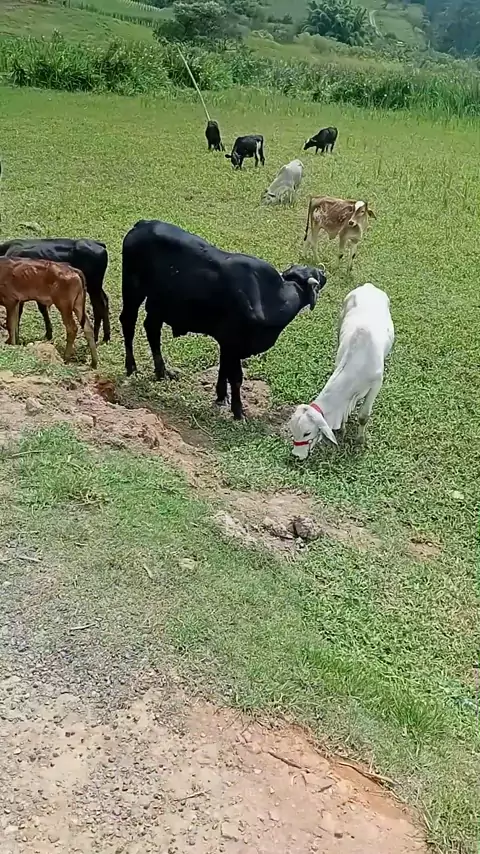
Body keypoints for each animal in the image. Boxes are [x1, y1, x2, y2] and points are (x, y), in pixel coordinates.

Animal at [120, 220, 327, 420]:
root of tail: (143, 224)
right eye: (315, 274)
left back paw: (162, 372)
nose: (323, 272)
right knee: (128, 323)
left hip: (158, 304)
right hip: (132, 291)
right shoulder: (233, 342)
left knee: (152, 329)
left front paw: (221, 397)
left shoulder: (227, 343)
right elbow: (235, 377)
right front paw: (238, 412)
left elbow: (223, 370)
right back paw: (132, 368)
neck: (270, 297)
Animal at [289, 283, 394, 458]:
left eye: (307, 433)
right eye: (293, 431)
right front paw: (343, 428)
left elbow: (364, 416)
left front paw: (360, 440)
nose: (296, 455)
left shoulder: (377, 384)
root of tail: (368, 285)